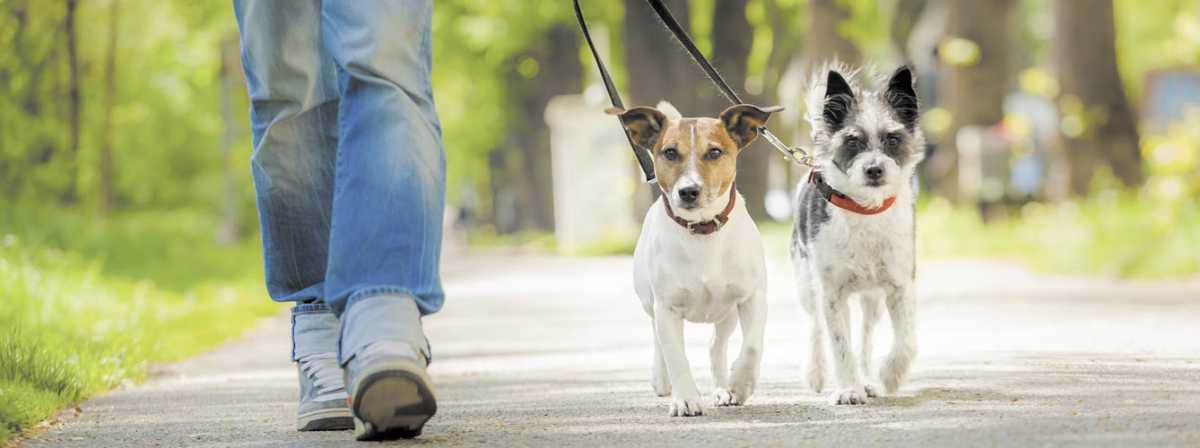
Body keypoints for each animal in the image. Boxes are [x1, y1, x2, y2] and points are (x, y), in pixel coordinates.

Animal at [614, 100, 782, 415]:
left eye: (714, 152)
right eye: (669, 152)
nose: (688, 191)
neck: (703, 231)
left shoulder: (753, 298)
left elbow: (752, 346)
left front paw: (740, 383)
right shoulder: (666, 307)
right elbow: (676, 356)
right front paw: (686, 399)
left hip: (727, 313)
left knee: (716, 346)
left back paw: (722, 389)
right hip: (650, 302)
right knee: (658, 339)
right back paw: (661, 379)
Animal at [787, 63, 926, 405]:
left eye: (892, 138)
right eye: (852, 141)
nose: (874, 169)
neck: (865, 210)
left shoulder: (900, 286)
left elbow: (907, 341)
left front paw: (889, 376)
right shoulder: (832, 294)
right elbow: (839, 345)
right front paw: (848, 389)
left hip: (871, 299)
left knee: (865, 338)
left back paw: (868, 380)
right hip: (806, 283)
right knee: (815, 327)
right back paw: (817, 372)